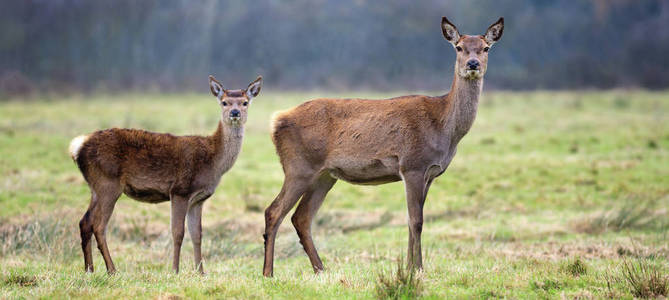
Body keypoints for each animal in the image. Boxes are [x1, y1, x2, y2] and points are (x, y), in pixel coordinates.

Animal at [69, 75, 262, 274]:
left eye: (245, 102)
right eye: (224, 102)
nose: (235, 112)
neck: (213, 160)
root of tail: (77, 147)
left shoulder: (198, 199)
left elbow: (197, 234)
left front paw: (200, 272)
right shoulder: (180, 190)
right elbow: (178, 233)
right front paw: (175, 270)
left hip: (95, 188)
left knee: (85, 222)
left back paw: (89, 269)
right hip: (108, 184)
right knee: (99, 226)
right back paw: (112, 270)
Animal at [264, 17, 504, 276]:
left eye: (486, 48)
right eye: (458, 47)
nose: (473, 64)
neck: (443, 126)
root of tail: (277, 120)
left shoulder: (430, 173)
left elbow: (410, 221)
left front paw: (409, 268)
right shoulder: (412, 165)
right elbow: (417, 221)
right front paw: (418, 269)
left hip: (325, 175)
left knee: (301, 217)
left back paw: (321, 270)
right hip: (298, 167)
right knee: (274, 211)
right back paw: (268, 273)